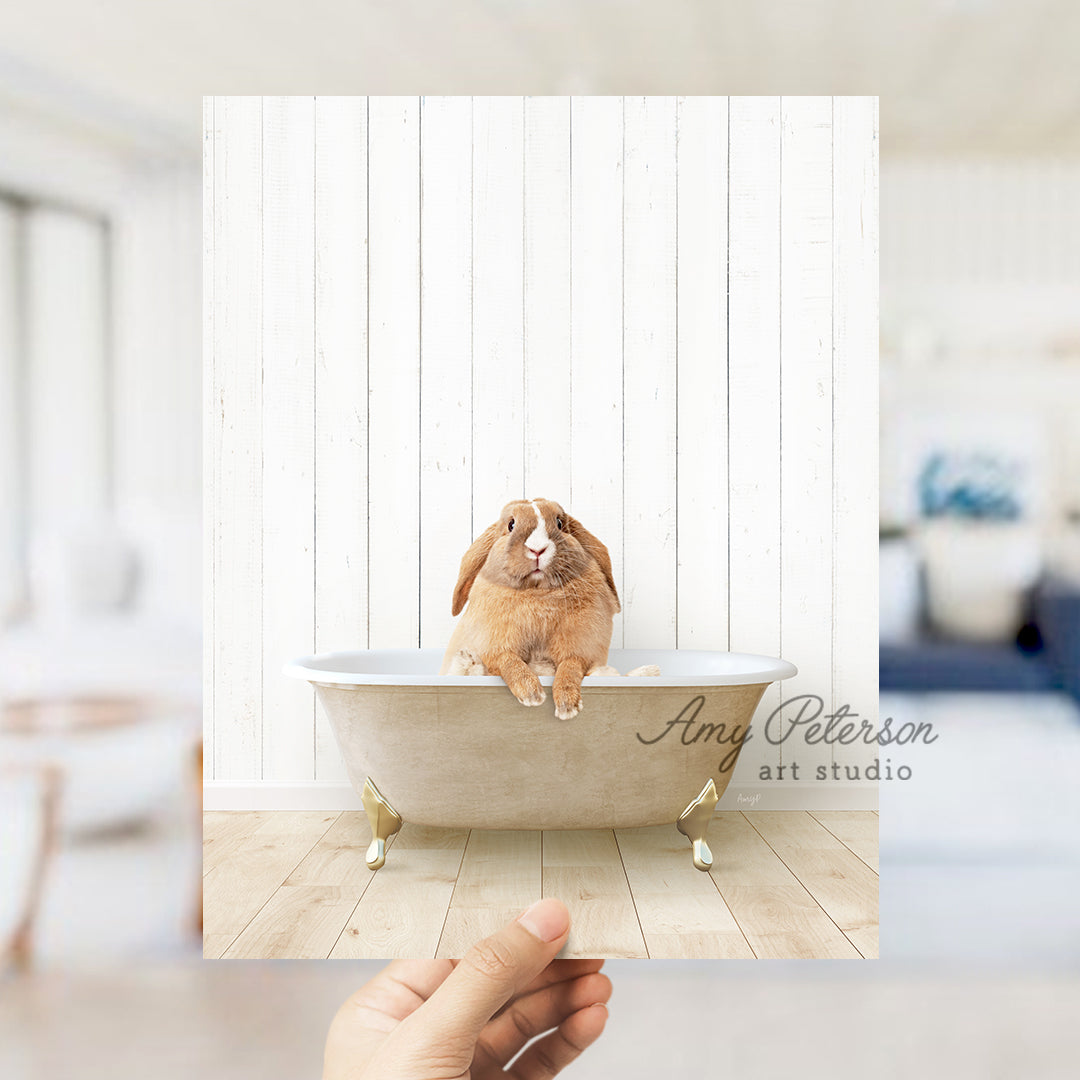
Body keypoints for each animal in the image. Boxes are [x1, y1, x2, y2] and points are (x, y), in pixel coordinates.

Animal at [438, 501, 622, 721]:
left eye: (559, 523)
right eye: (511, 525)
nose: (537, 549)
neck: (536, 591)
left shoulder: (581, 648)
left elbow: (570, 667)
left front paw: (567, 706)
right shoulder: (495, 647)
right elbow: (509, 662)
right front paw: (532, 694)